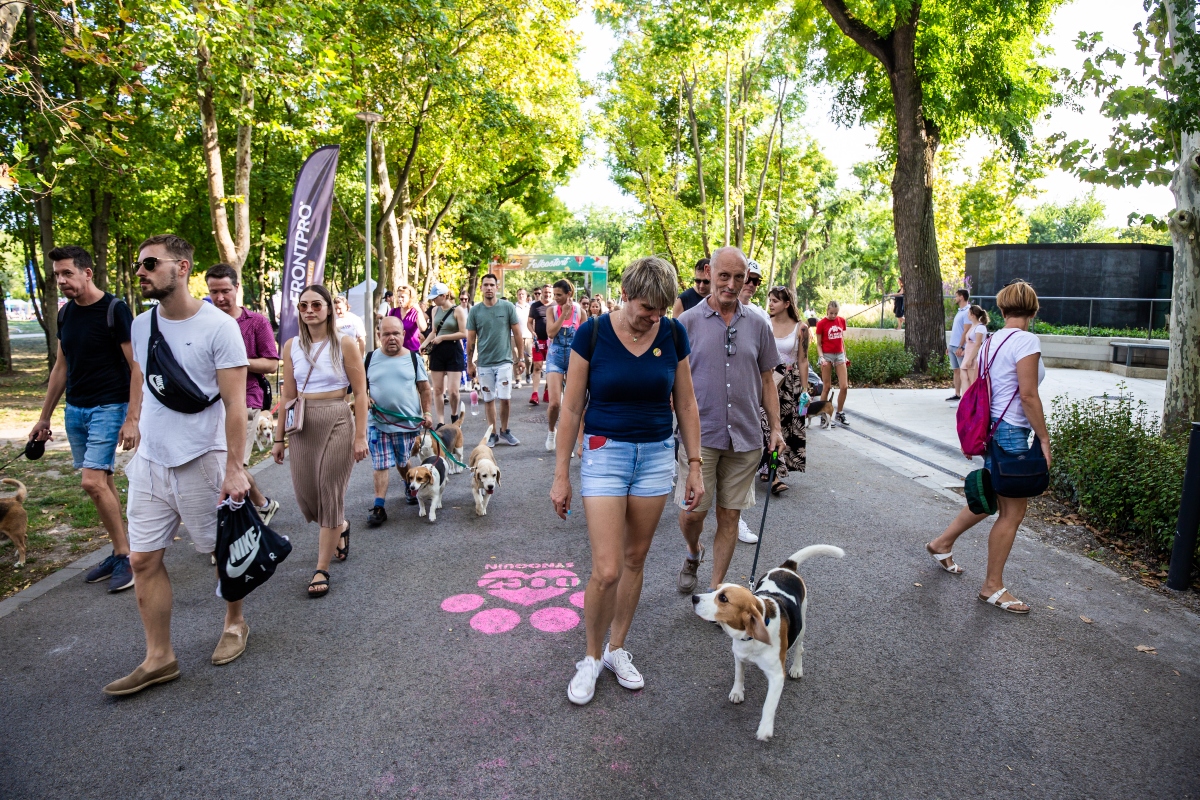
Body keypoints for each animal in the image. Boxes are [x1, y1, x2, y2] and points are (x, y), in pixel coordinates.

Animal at [691, 544, 849, 743]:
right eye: (716, 589)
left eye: (724, 598)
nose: (694, 598)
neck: (750, 638)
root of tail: (787, 567)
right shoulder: (738, 655)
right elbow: (739, 674)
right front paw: (737, 692)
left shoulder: (776, 676)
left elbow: (769, 704)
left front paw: (765, 728)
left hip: (802, 623)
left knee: (800, 648)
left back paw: (797, 668)